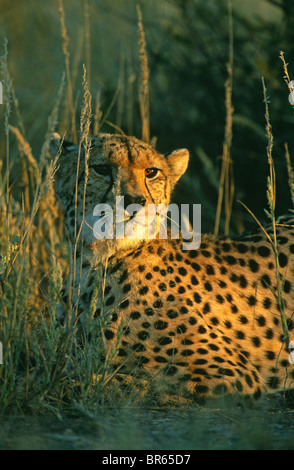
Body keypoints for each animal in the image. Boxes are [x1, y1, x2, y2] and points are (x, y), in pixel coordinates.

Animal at [50, 131, 294, 404]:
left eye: (151, 172)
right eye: (101, 169)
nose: (134, 201)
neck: (93, 262)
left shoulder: (233, 375)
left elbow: (116, 380)